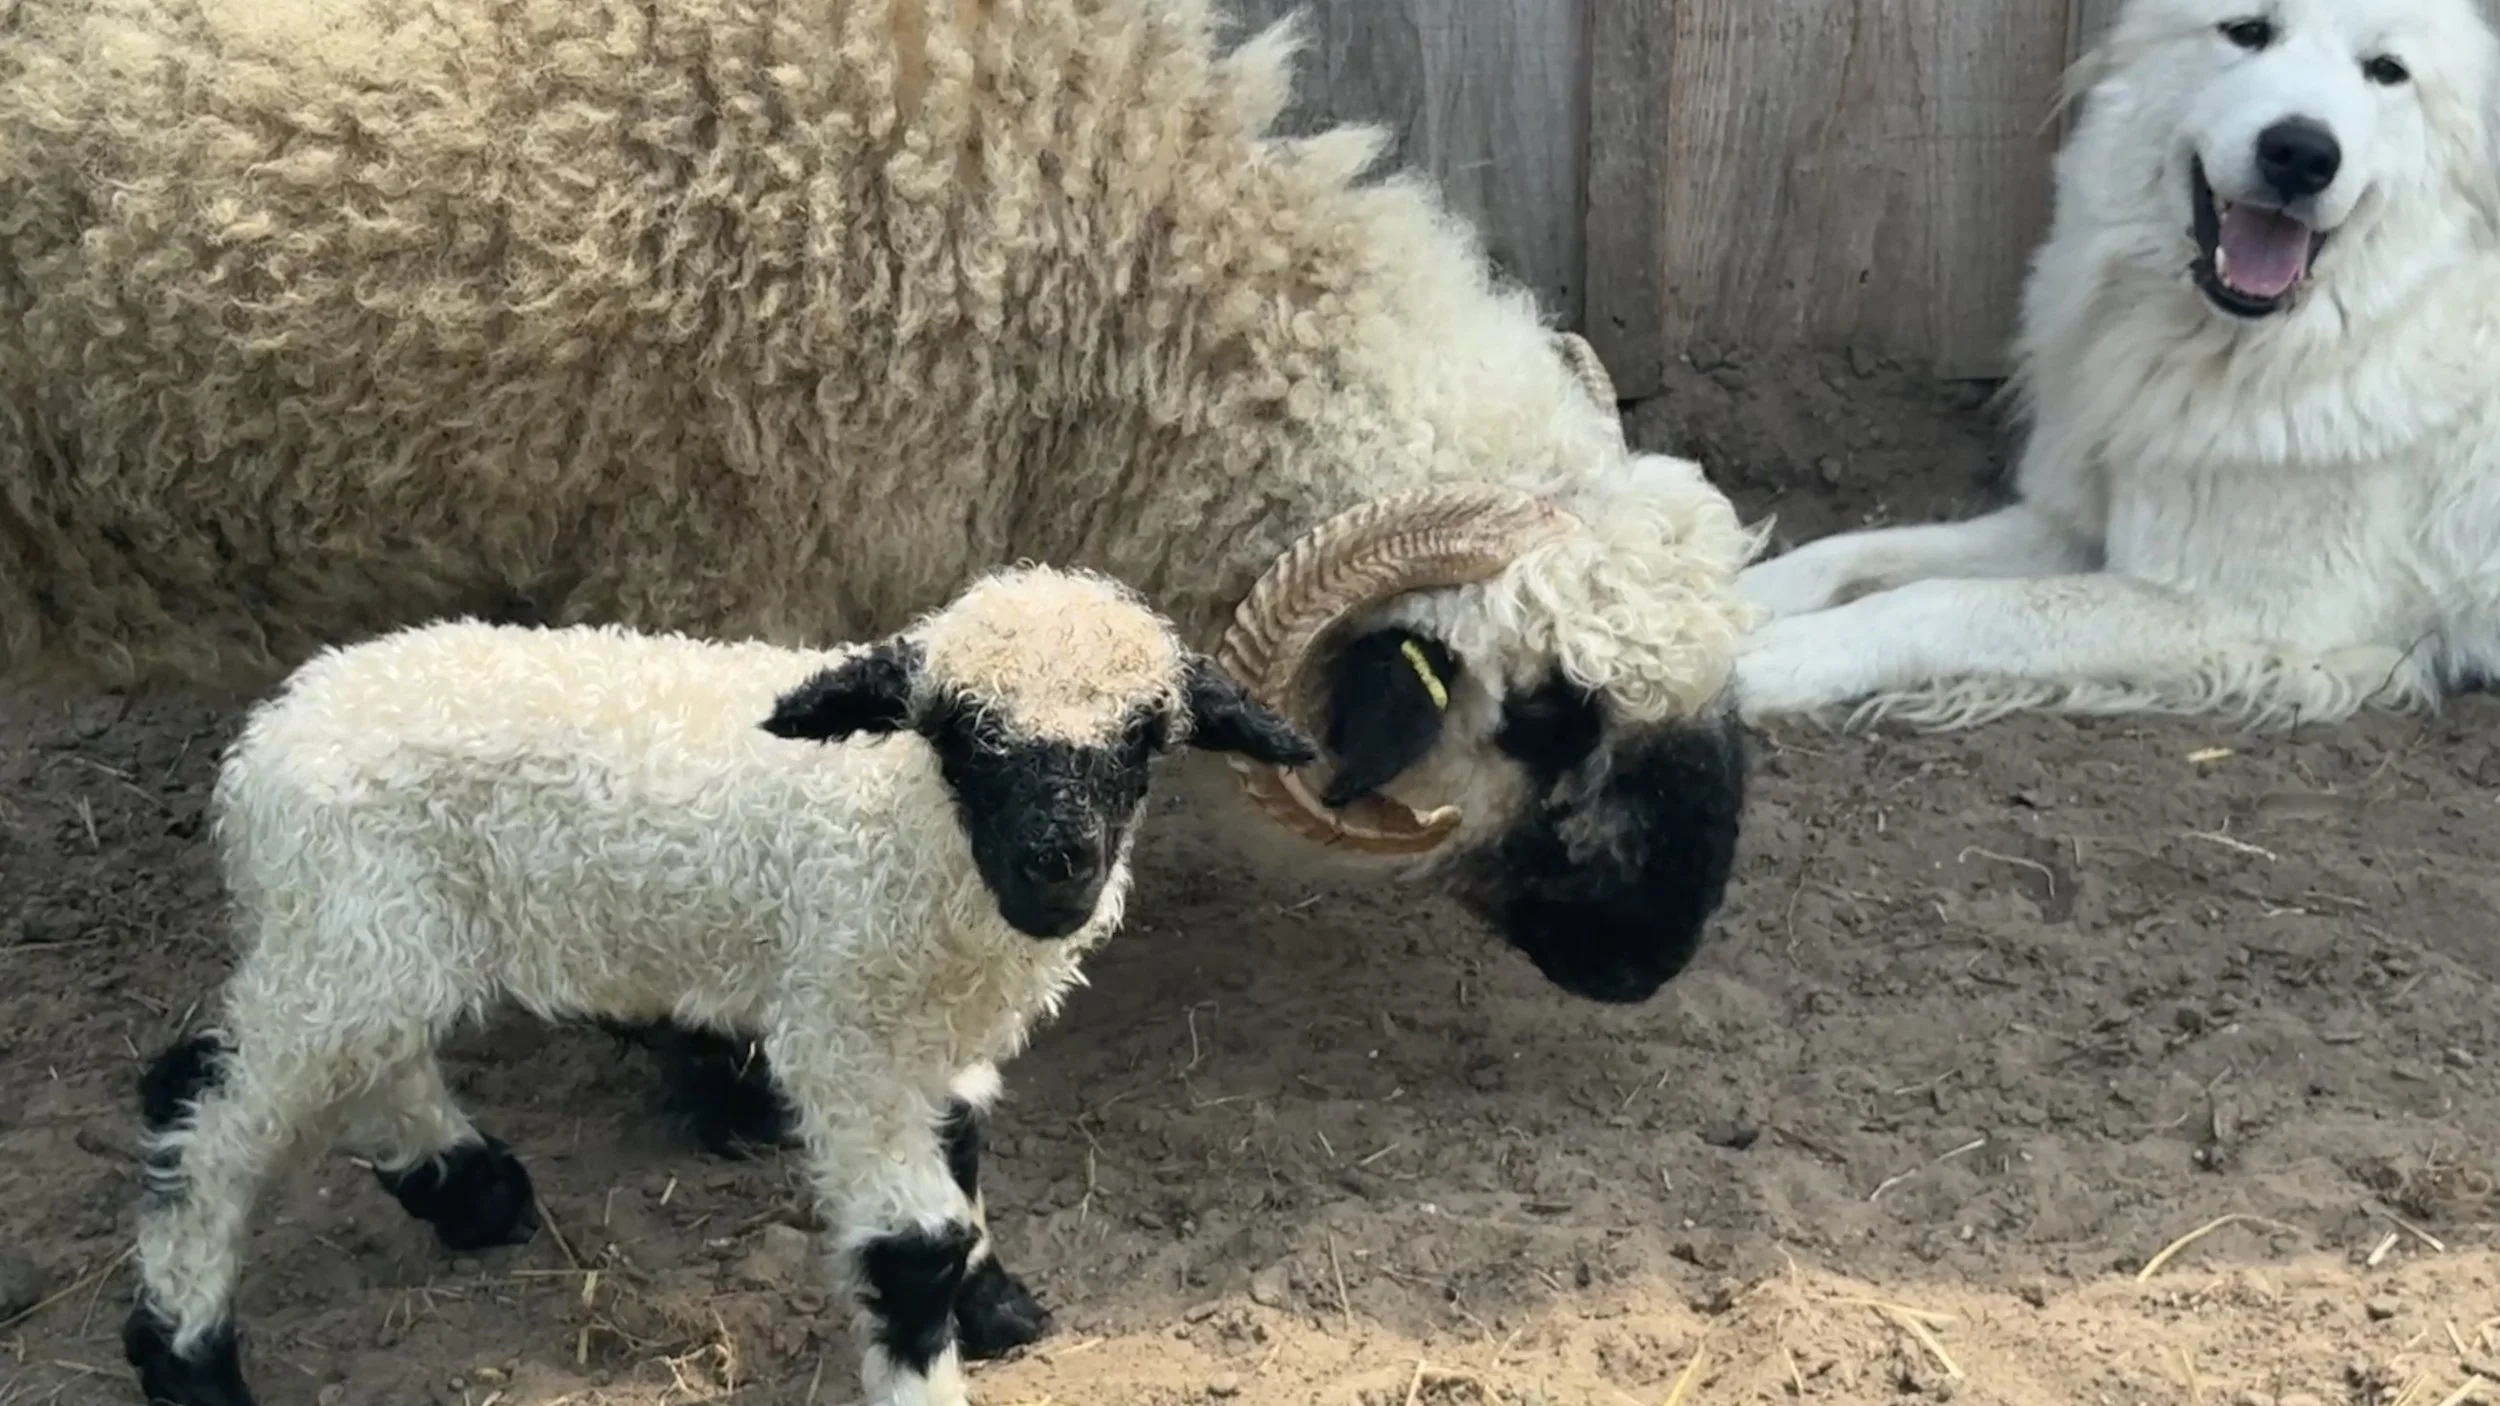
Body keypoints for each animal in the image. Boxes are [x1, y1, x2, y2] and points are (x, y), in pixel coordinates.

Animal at [118, 564, 1320, 1406]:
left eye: (1143, 738)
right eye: (961, 732)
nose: (1057, 865)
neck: (910, 824)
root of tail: (263, 743)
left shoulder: (927, 1027)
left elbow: (965, 1148)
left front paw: (995, 1305)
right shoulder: (842, 1029)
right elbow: (915, 1241)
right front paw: (935, 1358)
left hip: (369, 934)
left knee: (374, 1060)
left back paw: (468, 1187)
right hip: (340, 930)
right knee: (210, 1118)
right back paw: (187, 1355)